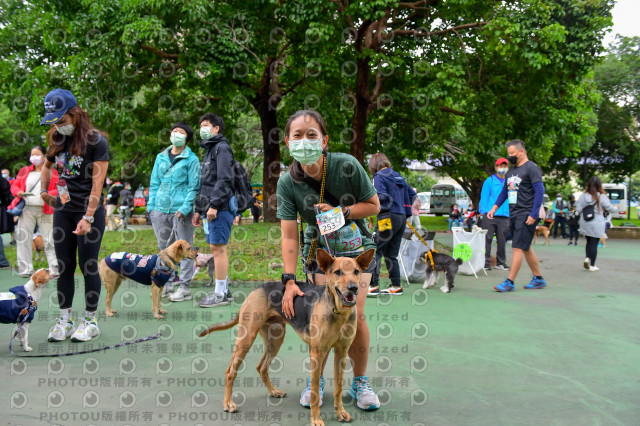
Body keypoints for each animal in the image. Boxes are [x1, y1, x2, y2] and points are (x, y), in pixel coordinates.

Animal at [200, 248, 376, 424]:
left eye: (356, 271)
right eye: (338, 272)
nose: (353, 288)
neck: (338, 311)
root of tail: (256, 289)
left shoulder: (341, 353)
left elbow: (338, 388)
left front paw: (341, 413)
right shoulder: (317, 353)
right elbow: (315, 391)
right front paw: (316, 419)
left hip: (275, 340)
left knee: (261, 367)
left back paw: (273, 391)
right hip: (246, 339)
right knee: (230, 371)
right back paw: (228, 404)